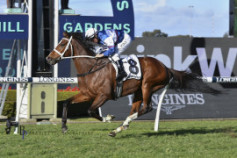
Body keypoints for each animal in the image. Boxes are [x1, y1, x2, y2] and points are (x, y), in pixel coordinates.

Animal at [46, 31, 220, 136]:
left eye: (62, 44)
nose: (48, 58)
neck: (92, 68)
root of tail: (165, 67)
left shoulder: (104, 95)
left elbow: (90, 111)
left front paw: (109, 118)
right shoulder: (87, 94)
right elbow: (66, 103)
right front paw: (64, 127)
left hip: (147, 86)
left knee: (147, 108)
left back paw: (121, 126)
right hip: (138, 91)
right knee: (136, 109)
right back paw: (119, 128)